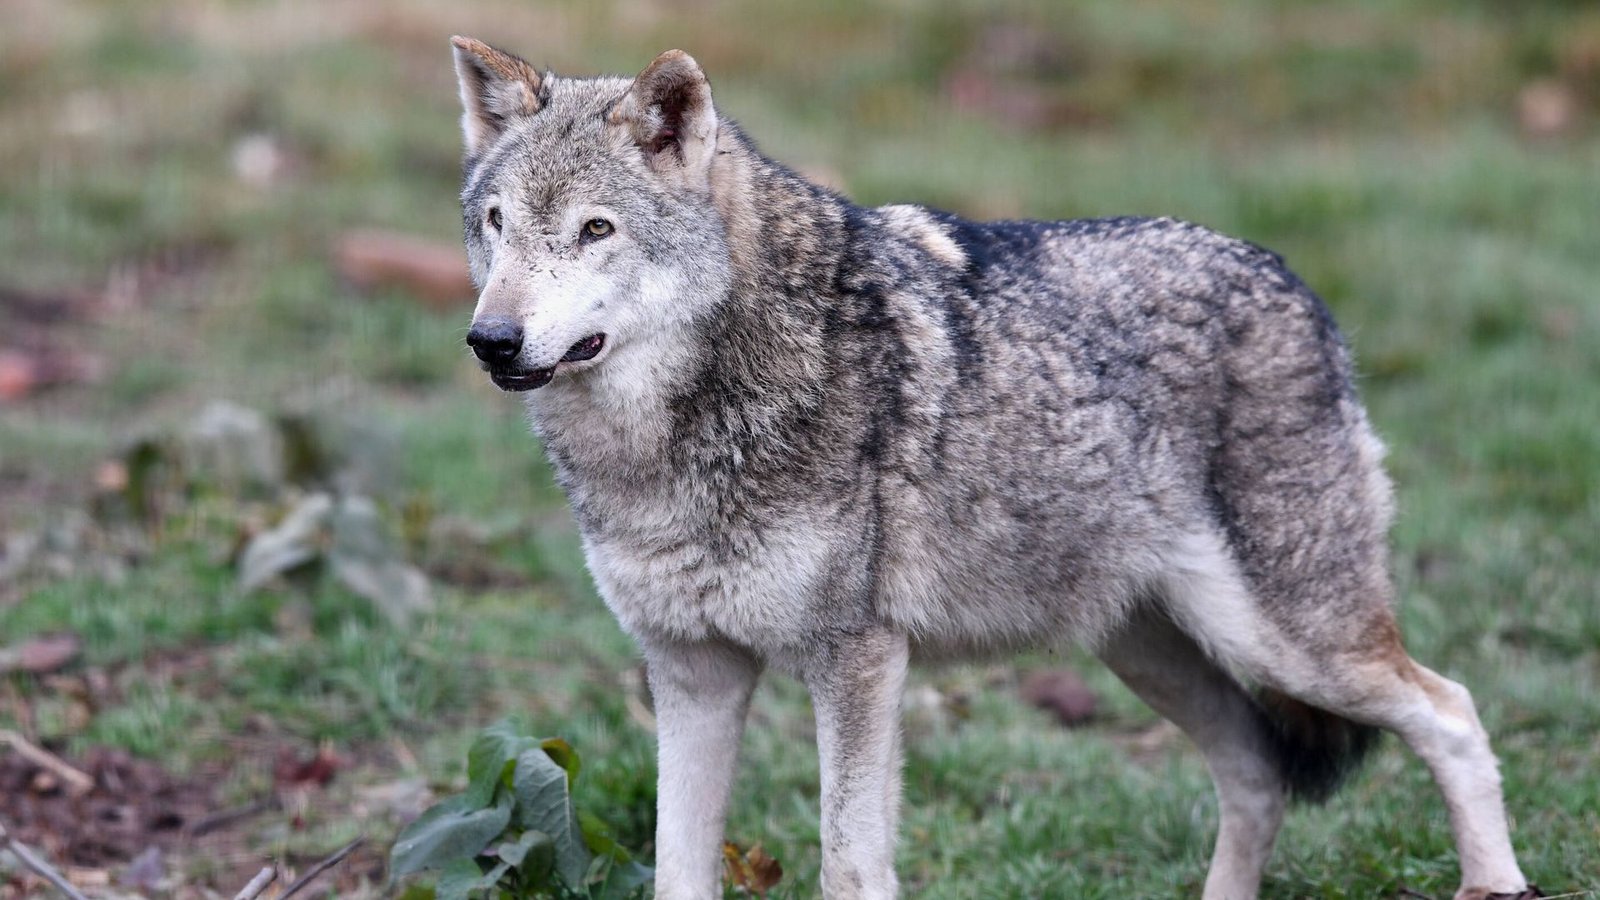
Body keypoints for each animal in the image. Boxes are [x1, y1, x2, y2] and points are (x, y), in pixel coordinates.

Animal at [447, 37, 1539, 900]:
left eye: (596, 229)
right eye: (497, 224)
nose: (490, 341)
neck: (666, 443)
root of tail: (1296, 281)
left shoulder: (856, 661)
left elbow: (849, 863)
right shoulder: (690, 672)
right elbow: (679, 868)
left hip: (1290, 645)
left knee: (1450, 710)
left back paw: (1494, 883)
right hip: (1149, 649)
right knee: (1259, 774)